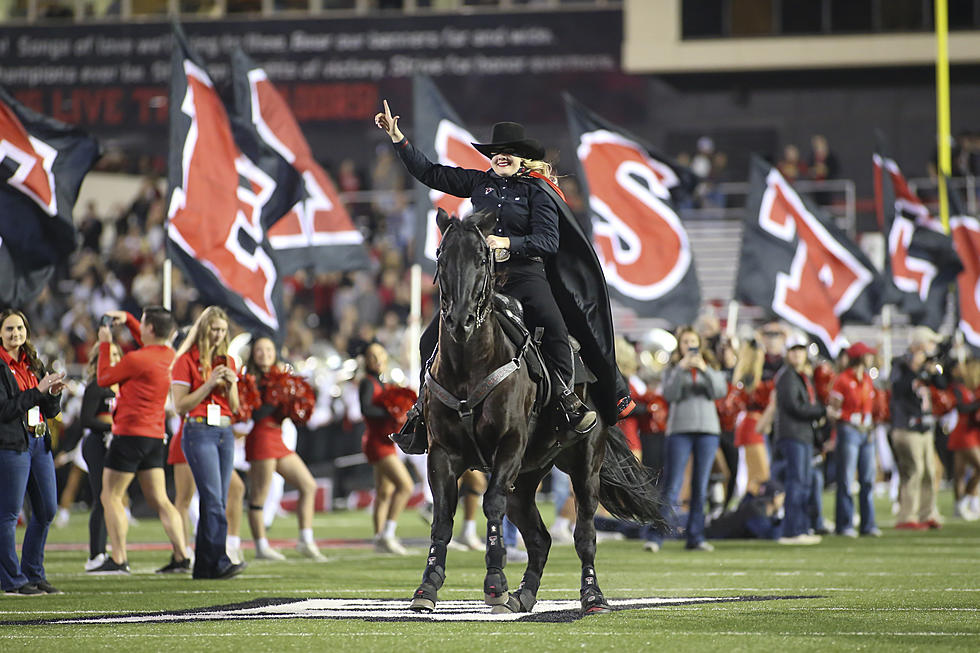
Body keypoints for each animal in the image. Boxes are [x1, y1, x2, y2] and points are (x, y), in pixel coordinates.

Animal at [406, 210, 668, 616]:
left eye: (482, 258)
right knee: (539, 538)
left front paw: (495, 583)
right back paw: (525, 594)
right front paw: (427, 586)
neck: (469, 366)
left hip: (585, 466)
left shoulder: (509, 445)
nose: (460, 321)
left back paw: (592, 597)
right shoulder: (442, 453)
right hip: (527, 478)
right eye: (440, 256)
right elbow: (442, 519)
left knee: (584, 534)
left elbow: (490, 504)